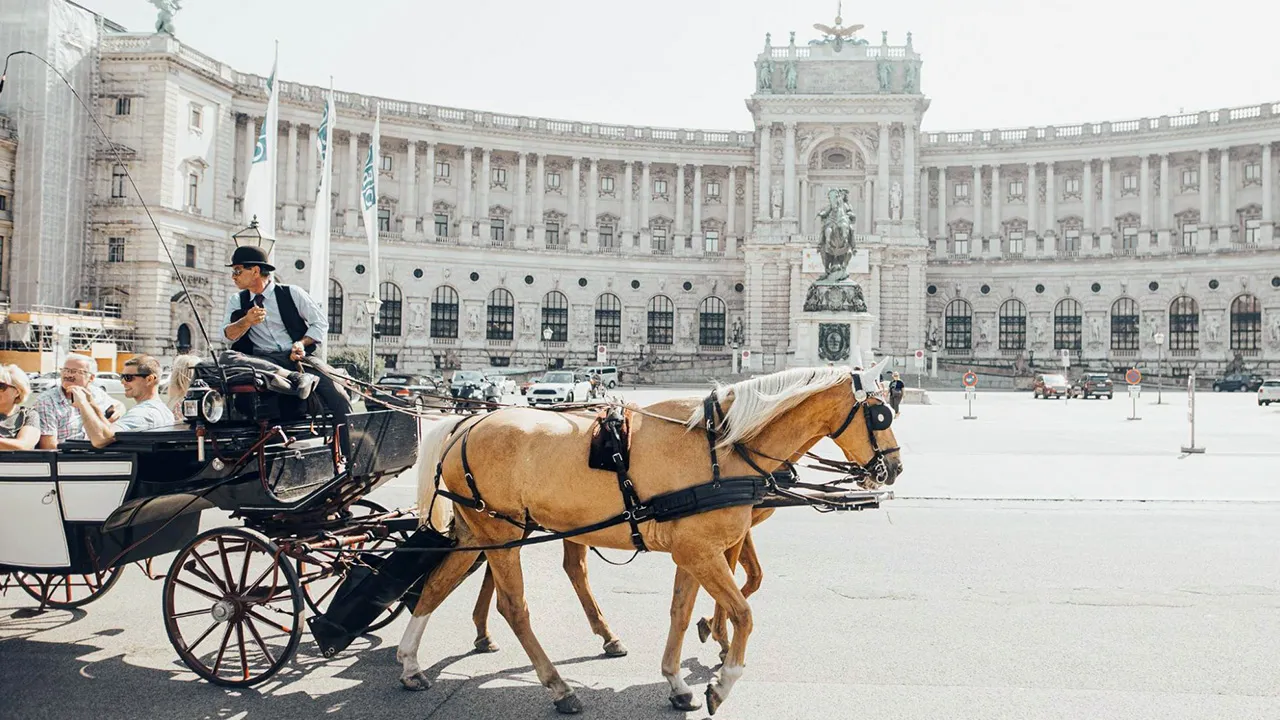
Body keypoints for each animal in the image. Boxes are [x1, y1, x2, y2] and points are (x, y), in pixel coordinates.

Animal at [399, 363, 901, 712]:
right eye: (880, 414)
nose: (894, 468)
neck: (721, 448)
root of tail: (466, 423)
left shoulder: (693, 553)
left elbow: (682, 612)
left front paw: (679, 681)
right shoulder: (703, 550)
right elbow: (743, 610)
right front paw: (723, 680)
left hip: (482, 529)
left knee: (438, 583)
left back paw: (410, 663)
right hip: (502, 530)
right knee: (514, 606)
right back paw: (558, 687)